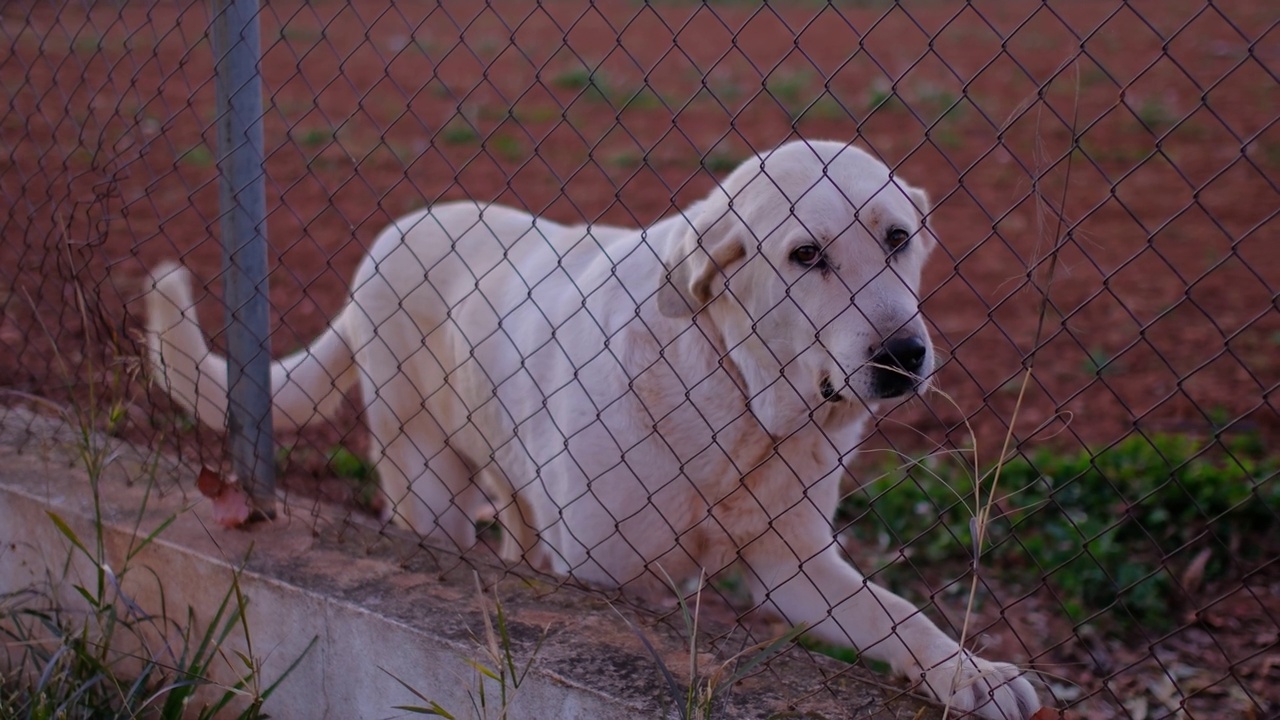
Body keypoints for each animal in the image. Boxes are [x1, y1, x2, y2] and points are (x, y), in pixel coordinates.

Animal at [147, 139, 1039, 712]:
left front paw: (970, 674)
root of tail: (395, 233)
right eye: (806, 255)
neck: (739, 397)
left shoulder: (793, 563)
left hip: (515, 487)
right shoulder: (607, 576)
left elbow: (900, 616)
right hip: (429, 491)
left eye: (898, 239)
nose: (903, 355)